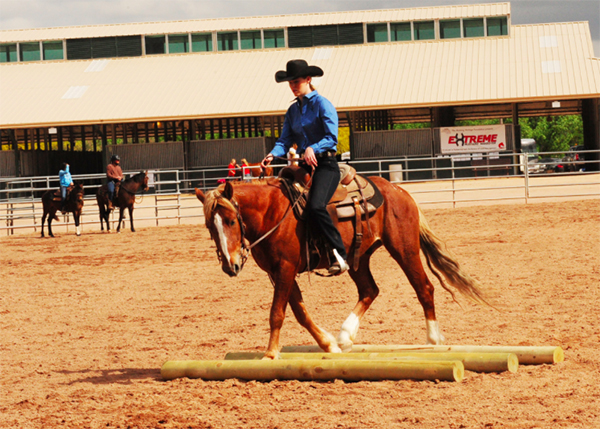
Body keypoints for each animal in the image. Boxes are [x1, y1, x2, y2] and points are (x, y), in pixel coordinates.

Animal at [195, 179, 490, 360]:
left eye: (231, 221)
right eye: (210, 226)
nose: (230, 265)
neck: (273, 213)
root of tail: (400, 191)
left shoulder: (285, 268)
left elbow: (277, 313)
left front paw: (269, 354)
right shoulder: (277, 273)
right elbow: (300, 312)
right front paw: (329, 344)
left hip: (404, 250)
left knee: (424, 288)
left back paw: (432, 339)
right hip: (358, 258)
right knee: (370, 290)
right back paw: (346, 336)